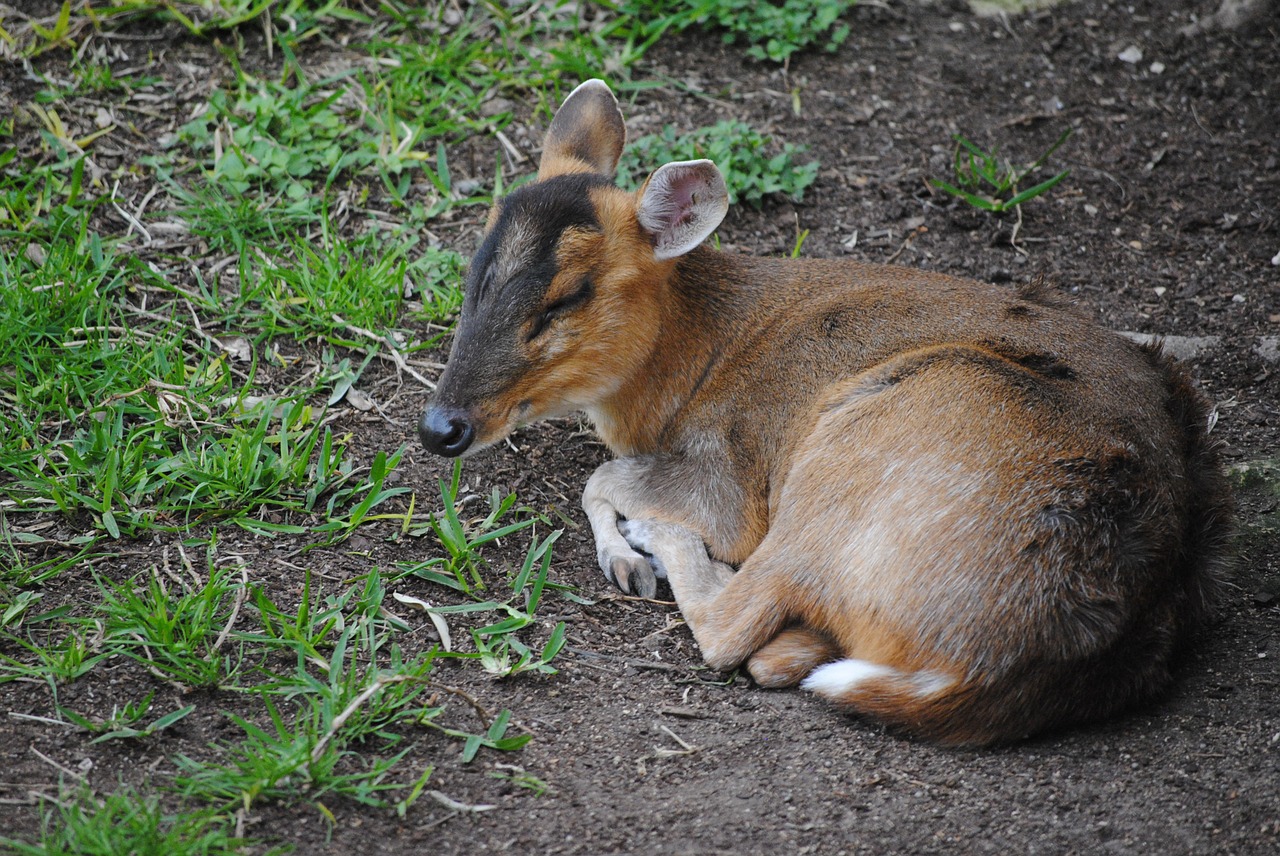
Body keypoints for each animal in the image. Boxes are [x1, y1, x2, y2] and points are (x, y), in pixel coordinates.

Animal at [417, 79, 1228, 742]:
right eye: (473, 268)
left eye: (565, 298)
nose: (441, 427)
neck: (688, 367)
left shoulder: (729, 472)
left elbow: (605, 480)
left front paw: (627, 552)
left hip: (857, 448)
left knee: (736, 626)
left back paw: (657, 544)